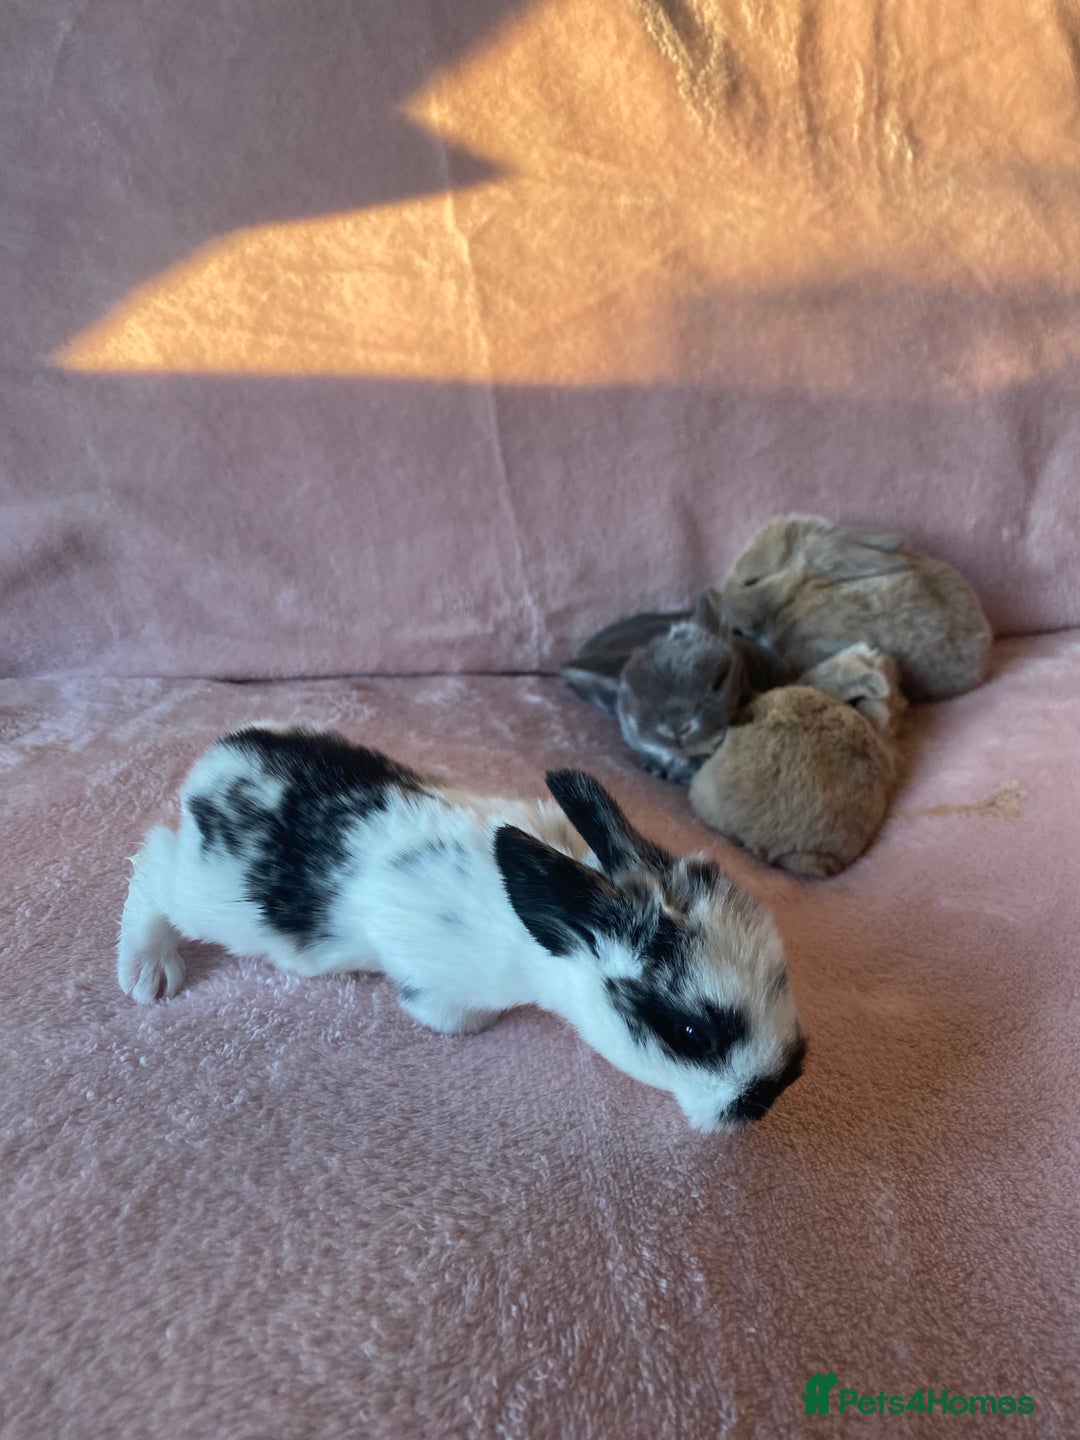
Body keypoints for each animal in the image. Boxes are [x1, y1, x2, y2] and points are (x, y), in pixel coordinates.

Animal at [118, 725, 806, 1132]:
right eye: (690, 1032)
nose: (773, 1093)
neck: (547, 942)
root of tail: (216, 762)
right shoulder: (438, 980)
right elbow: (449, 1016)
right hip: (213, 898)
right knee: (151, 861)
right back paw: (147, 973)